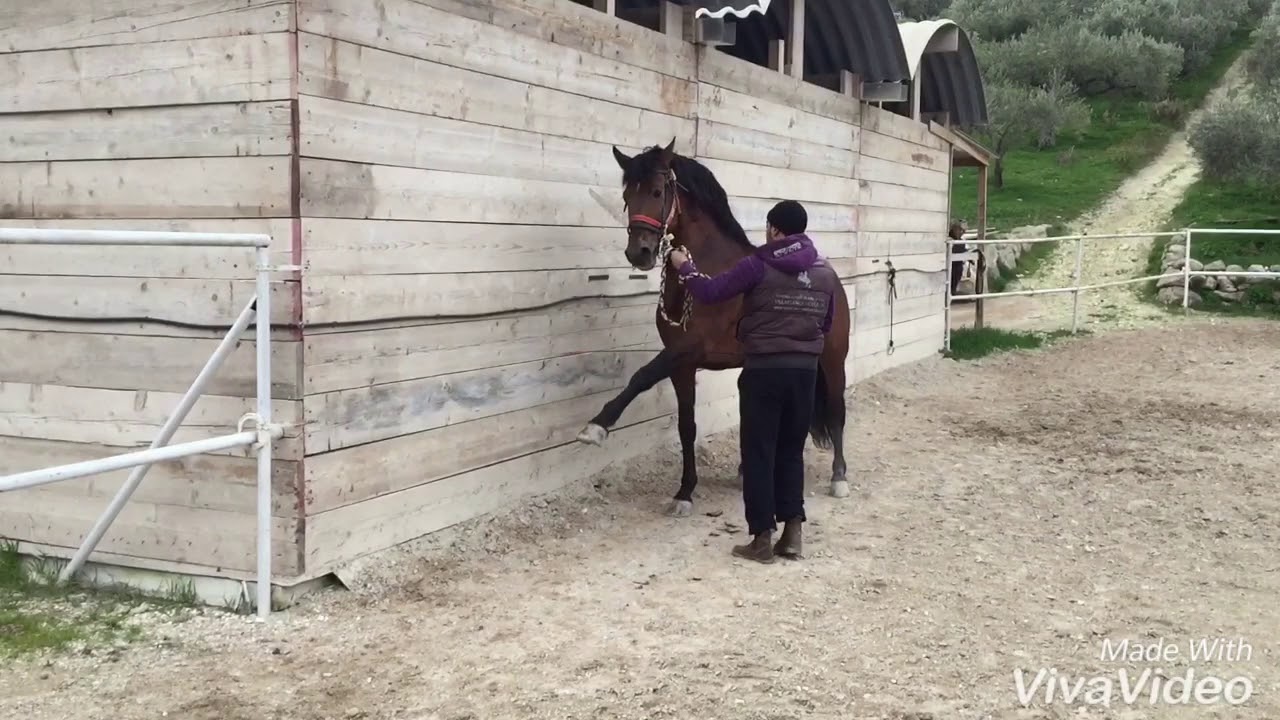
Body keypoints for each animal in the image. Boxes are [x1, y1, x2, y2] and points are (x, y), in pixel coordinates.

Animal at [575, 139, 852, 517]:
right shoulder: (683, 364)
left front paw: (597, 426)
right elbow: (686, 426)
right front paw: (684, 492)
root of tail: (833, 279)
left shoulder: (687, 349)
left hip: (833, 359)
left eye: (657, 191)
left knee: (837, 410)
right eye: (627, 196)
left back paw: (839, 477)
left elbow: (642, 376)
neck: (706, 272)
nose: (639, 253)